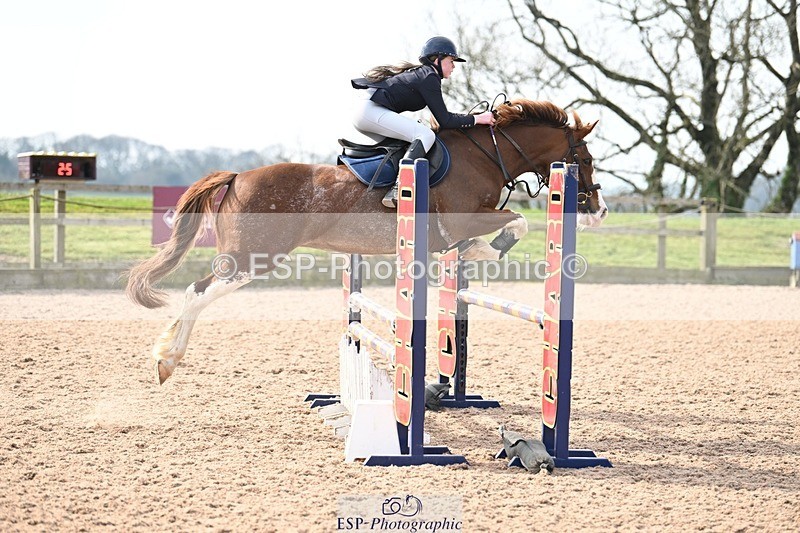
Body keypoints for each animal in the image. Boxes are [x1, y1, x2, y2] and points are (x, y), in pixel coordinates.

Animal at [126, 99, 608, 384]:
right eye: (584, 158)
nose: (599, 210)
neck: (486, 154)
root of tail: (238, 176)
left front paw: (472, 253)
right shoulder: (463, 218)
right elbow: (518, 222)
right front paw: (481, 249)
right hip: (252, 258)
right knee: (197, 291)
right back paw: (167, 360)